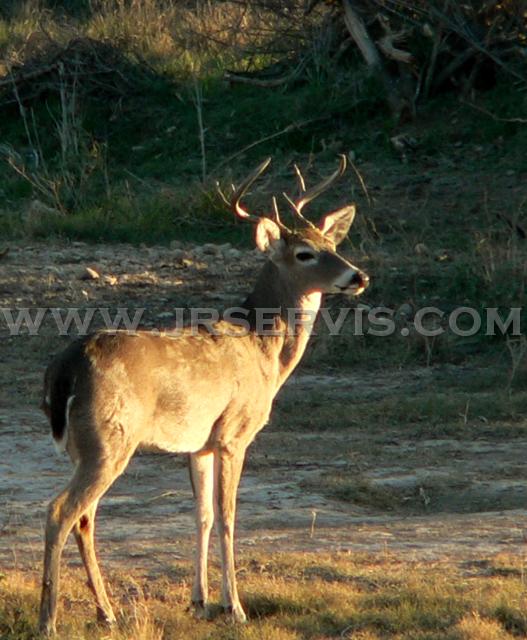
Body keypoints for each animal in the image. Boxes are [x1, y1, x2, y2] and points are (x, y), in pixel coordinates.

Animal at [38, 156, 368, 636]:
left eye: (331, 243)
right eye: (304, 253)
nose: (357, 276)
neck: (263, 350)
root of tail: (64, 371)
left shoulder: (200, 442)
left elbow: (202, 516)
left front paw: (200, 601)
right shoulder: (234, 433)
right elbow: (228, 516)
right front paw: (236, 607)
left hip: (86, 448)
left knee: (85, 517)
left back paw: (107, 612)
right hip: (109, 438)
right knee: (60, 511)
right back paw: (49, 619)